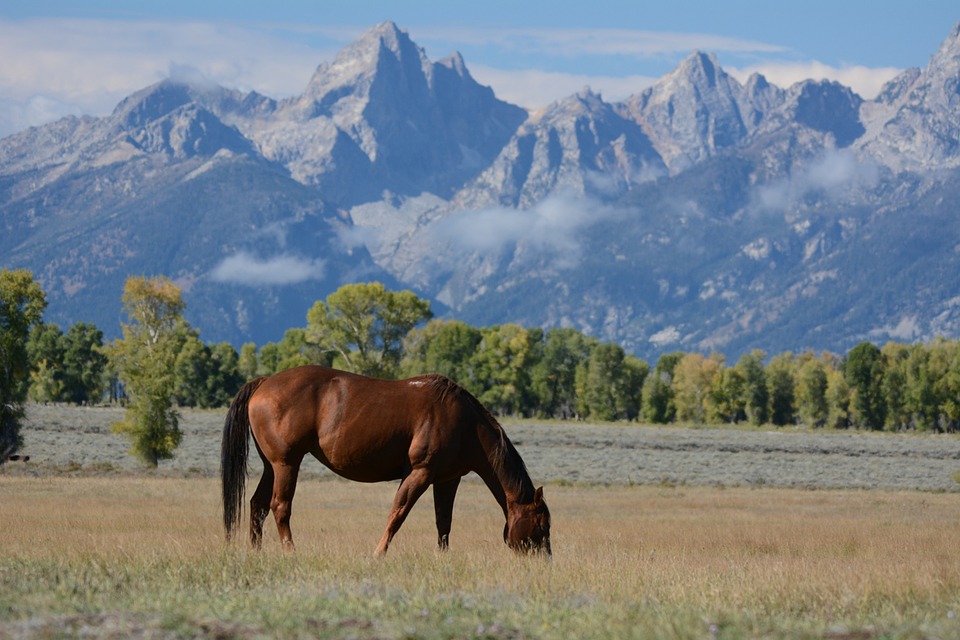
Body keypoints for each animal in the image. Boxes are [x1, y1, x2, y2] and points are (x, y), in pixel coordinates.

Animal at [220, 365, 551, 556]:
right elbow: (397, 514)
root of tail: (264, 382)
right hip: (287, 464)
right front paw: (379, 553)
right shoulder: (420, 473)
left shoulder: (448, 479)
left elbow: (443, 521)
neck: (465, 423)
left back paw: (256, 553)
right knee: (279, 507)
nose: (544, 558)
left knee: (258, 505)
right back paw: (291, 552)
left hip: (271, 466)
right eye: (542, 524)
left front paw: (443, 558)